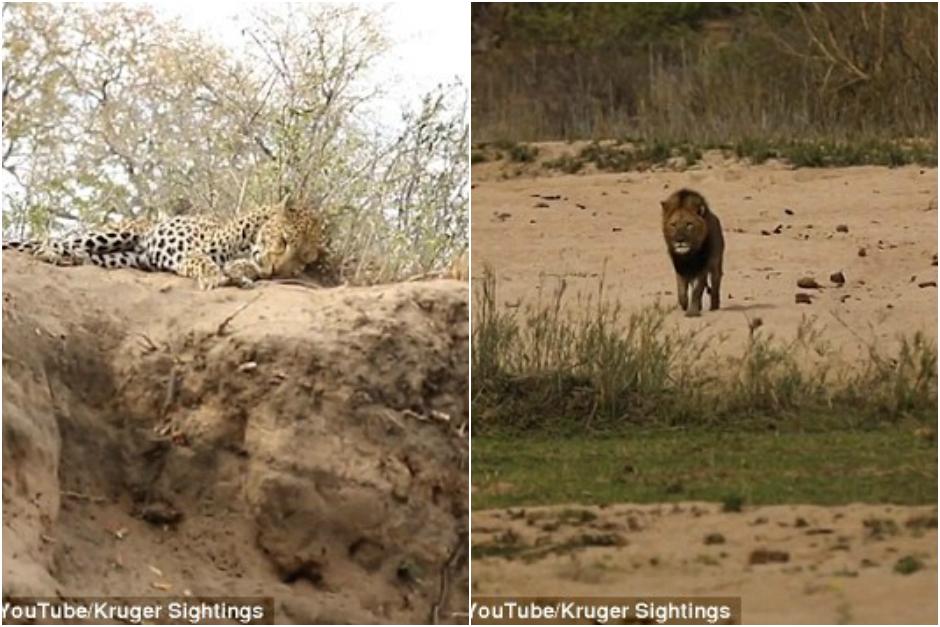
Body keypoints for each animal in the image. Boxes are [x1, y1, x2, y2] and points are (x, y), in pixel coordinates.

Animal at [2, 201, 322, 290]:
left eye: (302, 263)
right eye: (284, 241)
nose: (275, 271)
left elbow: (241, 267)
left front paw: (242, 274)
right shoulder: (185, 249)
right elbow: (202, 259)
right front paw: (215, 277)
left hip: (124, 257)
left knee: (83, 253)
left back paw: (71, 258)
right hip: (119, 234)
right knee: (52, 242)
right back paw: (49, 251)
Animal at [660, 188, 725, 317]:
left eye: (689, 224)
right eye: (673, 224)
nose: (680, 240)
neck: (688, 255)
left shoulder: (702, 268)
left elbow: (697, 291)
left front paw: (692, 313)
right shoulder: (680, 267)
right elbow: (681, 290)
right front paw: (685, 305)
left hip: (716, 264)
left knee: (715, 285)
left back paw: (714, 307)